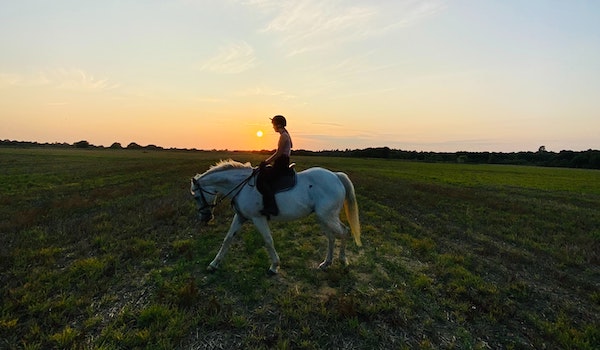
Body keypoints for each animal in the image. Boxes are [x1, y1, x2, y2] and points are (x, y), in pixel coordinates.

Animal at [190, 160, 364, 274]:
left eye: (196, 197)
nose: (205, 218)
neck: (242, 186)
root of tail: (335, 176)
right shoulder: (240, 217)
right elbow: (227, 239)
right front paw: (214, 264)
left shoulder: (258, 218)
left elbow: (268, 240)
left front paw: (274, 266)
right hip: (323, 218)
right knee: (331, 237)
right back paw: (326, 263)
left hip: (328, 216)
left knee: (344, 231)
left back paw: (343, 261)